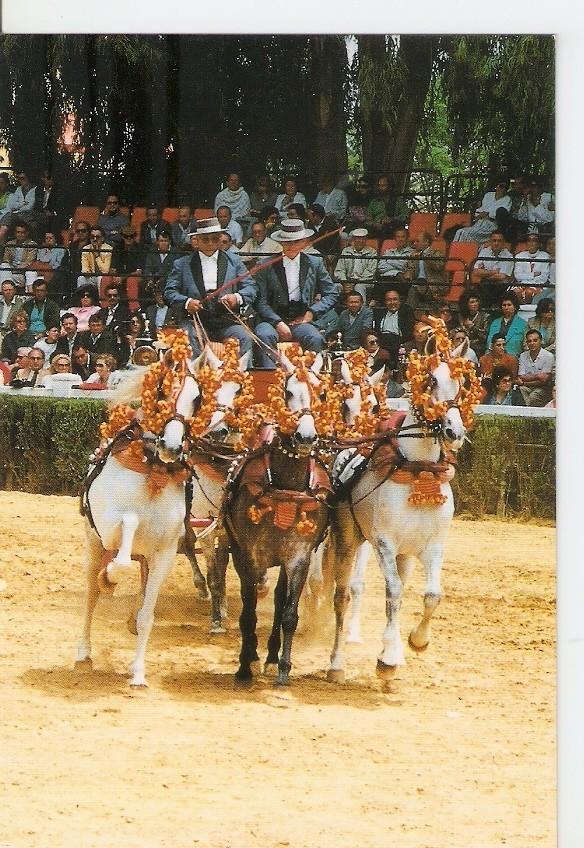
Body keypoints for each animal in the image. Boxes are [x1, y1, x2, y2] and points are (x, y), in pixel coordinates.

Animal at [77, 354, 201, 684]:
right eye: (160, 390)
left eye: (197, 399)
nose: (171, 446)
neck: (152, 472)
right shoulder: (109, 529)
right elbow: (128, 527)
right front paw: (109, 578)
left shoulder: (164, 553)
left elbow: (148, 616)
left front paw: (138, 674)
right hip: (93, 543)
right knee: (91, 596)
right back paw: (83, 652)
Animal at [324, 334, 470, 684]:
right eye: (432, 380)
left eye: (462, 382)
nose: (455, 432)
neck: (419, 469)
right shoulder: (383, 544)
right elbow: (393, 592)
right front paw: (388, 659)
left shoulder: (432, 546)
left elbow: (432, 595)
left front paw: (416, 641)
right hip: (348, 540)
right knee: (342, 595)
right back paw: (336, 663)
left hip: (405, 554)